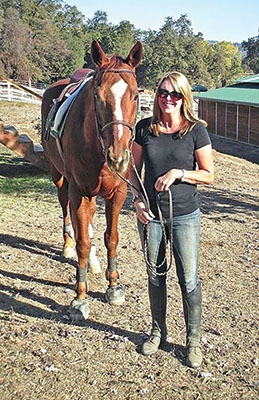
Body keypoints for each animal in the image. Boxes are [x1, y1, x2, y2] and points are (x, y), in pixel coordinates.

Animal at [41, 40, 143, 320]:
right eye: (97, 96)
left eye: (136, 95)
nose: (118, 157)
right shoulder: (78, 191)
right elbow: (83, 243)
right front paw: (80, 296)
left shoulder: (117, 193)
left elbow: (112, 237)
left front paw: (114, 285)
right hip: (59, 177)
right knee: (66, 210)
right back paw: (68, 246)